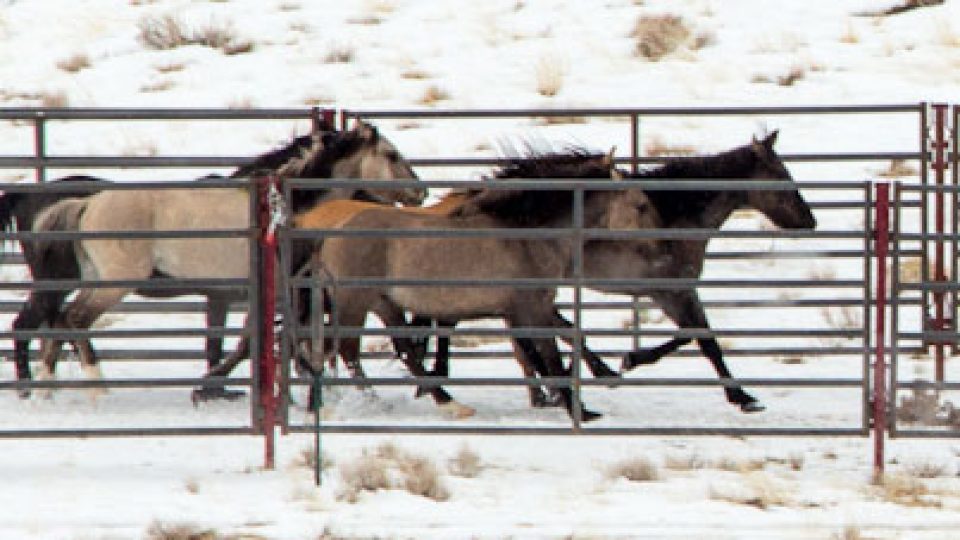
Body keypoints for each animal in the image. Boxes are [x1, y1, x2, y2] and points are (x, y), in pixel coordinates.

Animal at [24, 121, 425, 395]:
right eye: (392, 155)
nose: (420, 191)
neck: (284, 211)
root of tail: (86, 205)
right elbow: (250, 344)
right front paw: (209, 384)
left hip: (94, 278)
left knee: (60, 321)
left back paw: (46, 387)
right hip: (115, 282)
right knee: (75, 319)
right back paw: (96, 387)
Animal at [311, 149, 662, 421]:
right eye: (641, 205)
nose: (659, 248)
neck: (526, 234)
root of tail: (331, 232)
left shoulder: (525, 310)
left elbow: (547, 348)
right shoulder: (532, 307)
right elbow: (550, 355)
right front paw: (580, 411)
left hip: (383, 303)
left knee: (400, 351)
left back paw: (448, 404)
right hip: (356, 301)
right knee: (346, 349)